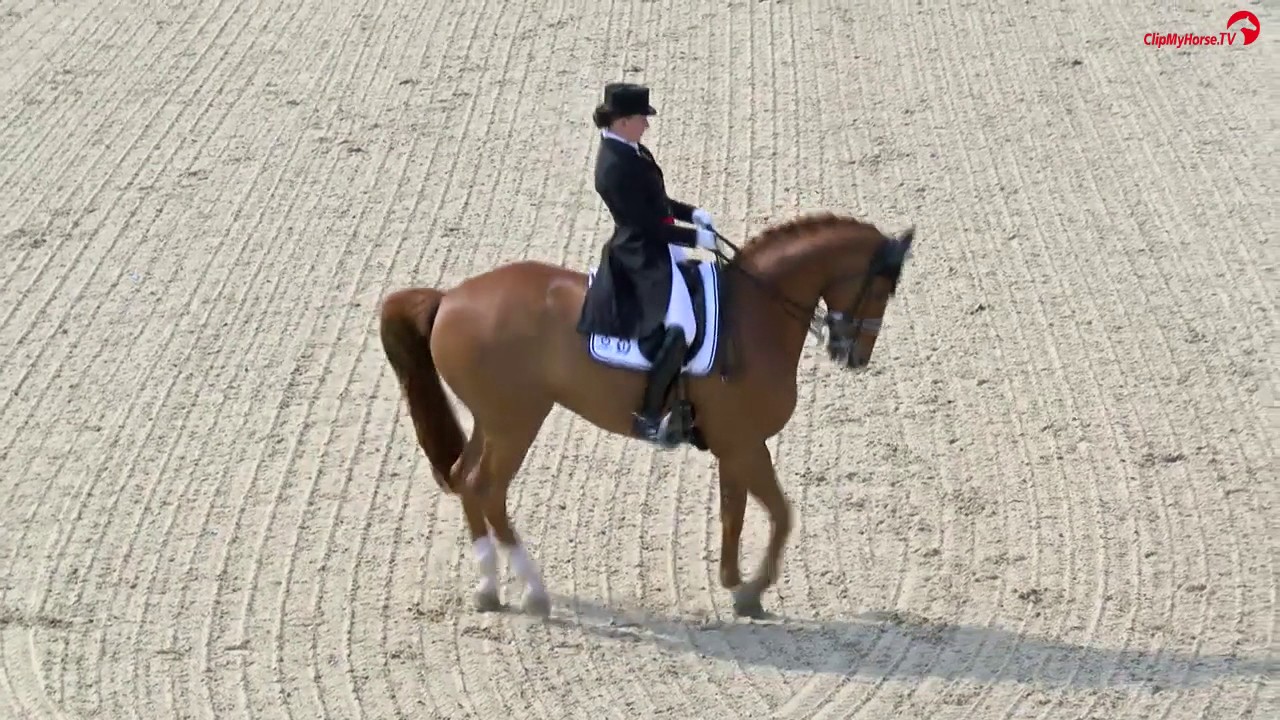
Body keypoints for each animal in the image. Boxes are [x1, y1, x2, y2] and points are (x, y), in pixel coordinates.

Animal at [378, 212, 915, 619]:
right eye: (884, 288)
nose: (854, 355)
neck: (755, 314)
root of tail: (449, 298)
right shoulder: (744, 444)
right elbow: (782, 515)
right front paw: (751, 591)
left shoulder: (735, 446)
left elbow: (734, 513)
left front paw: (732, 581)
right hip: (516, 422)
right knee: (487, 488)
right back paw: (534, 592)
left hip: (491, 420)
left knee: (465, 478)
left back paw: (488, 588)